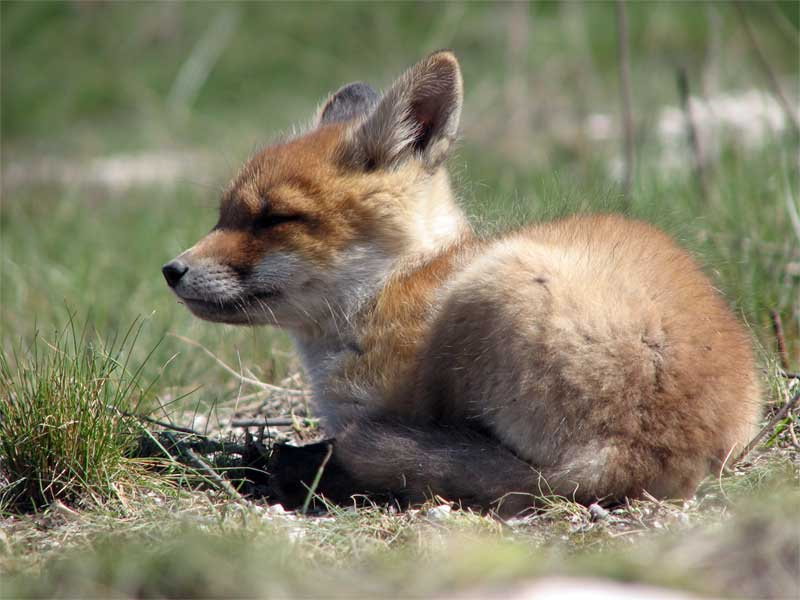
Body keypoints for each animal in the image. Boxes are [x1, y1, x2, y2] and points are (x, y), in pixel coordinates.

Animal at [163, 51, 761, 516]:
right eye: (222, 217)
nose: (171, 270)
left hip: (491, 290)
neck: (391, 289)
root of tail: (640, 451)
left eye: (274, 219)